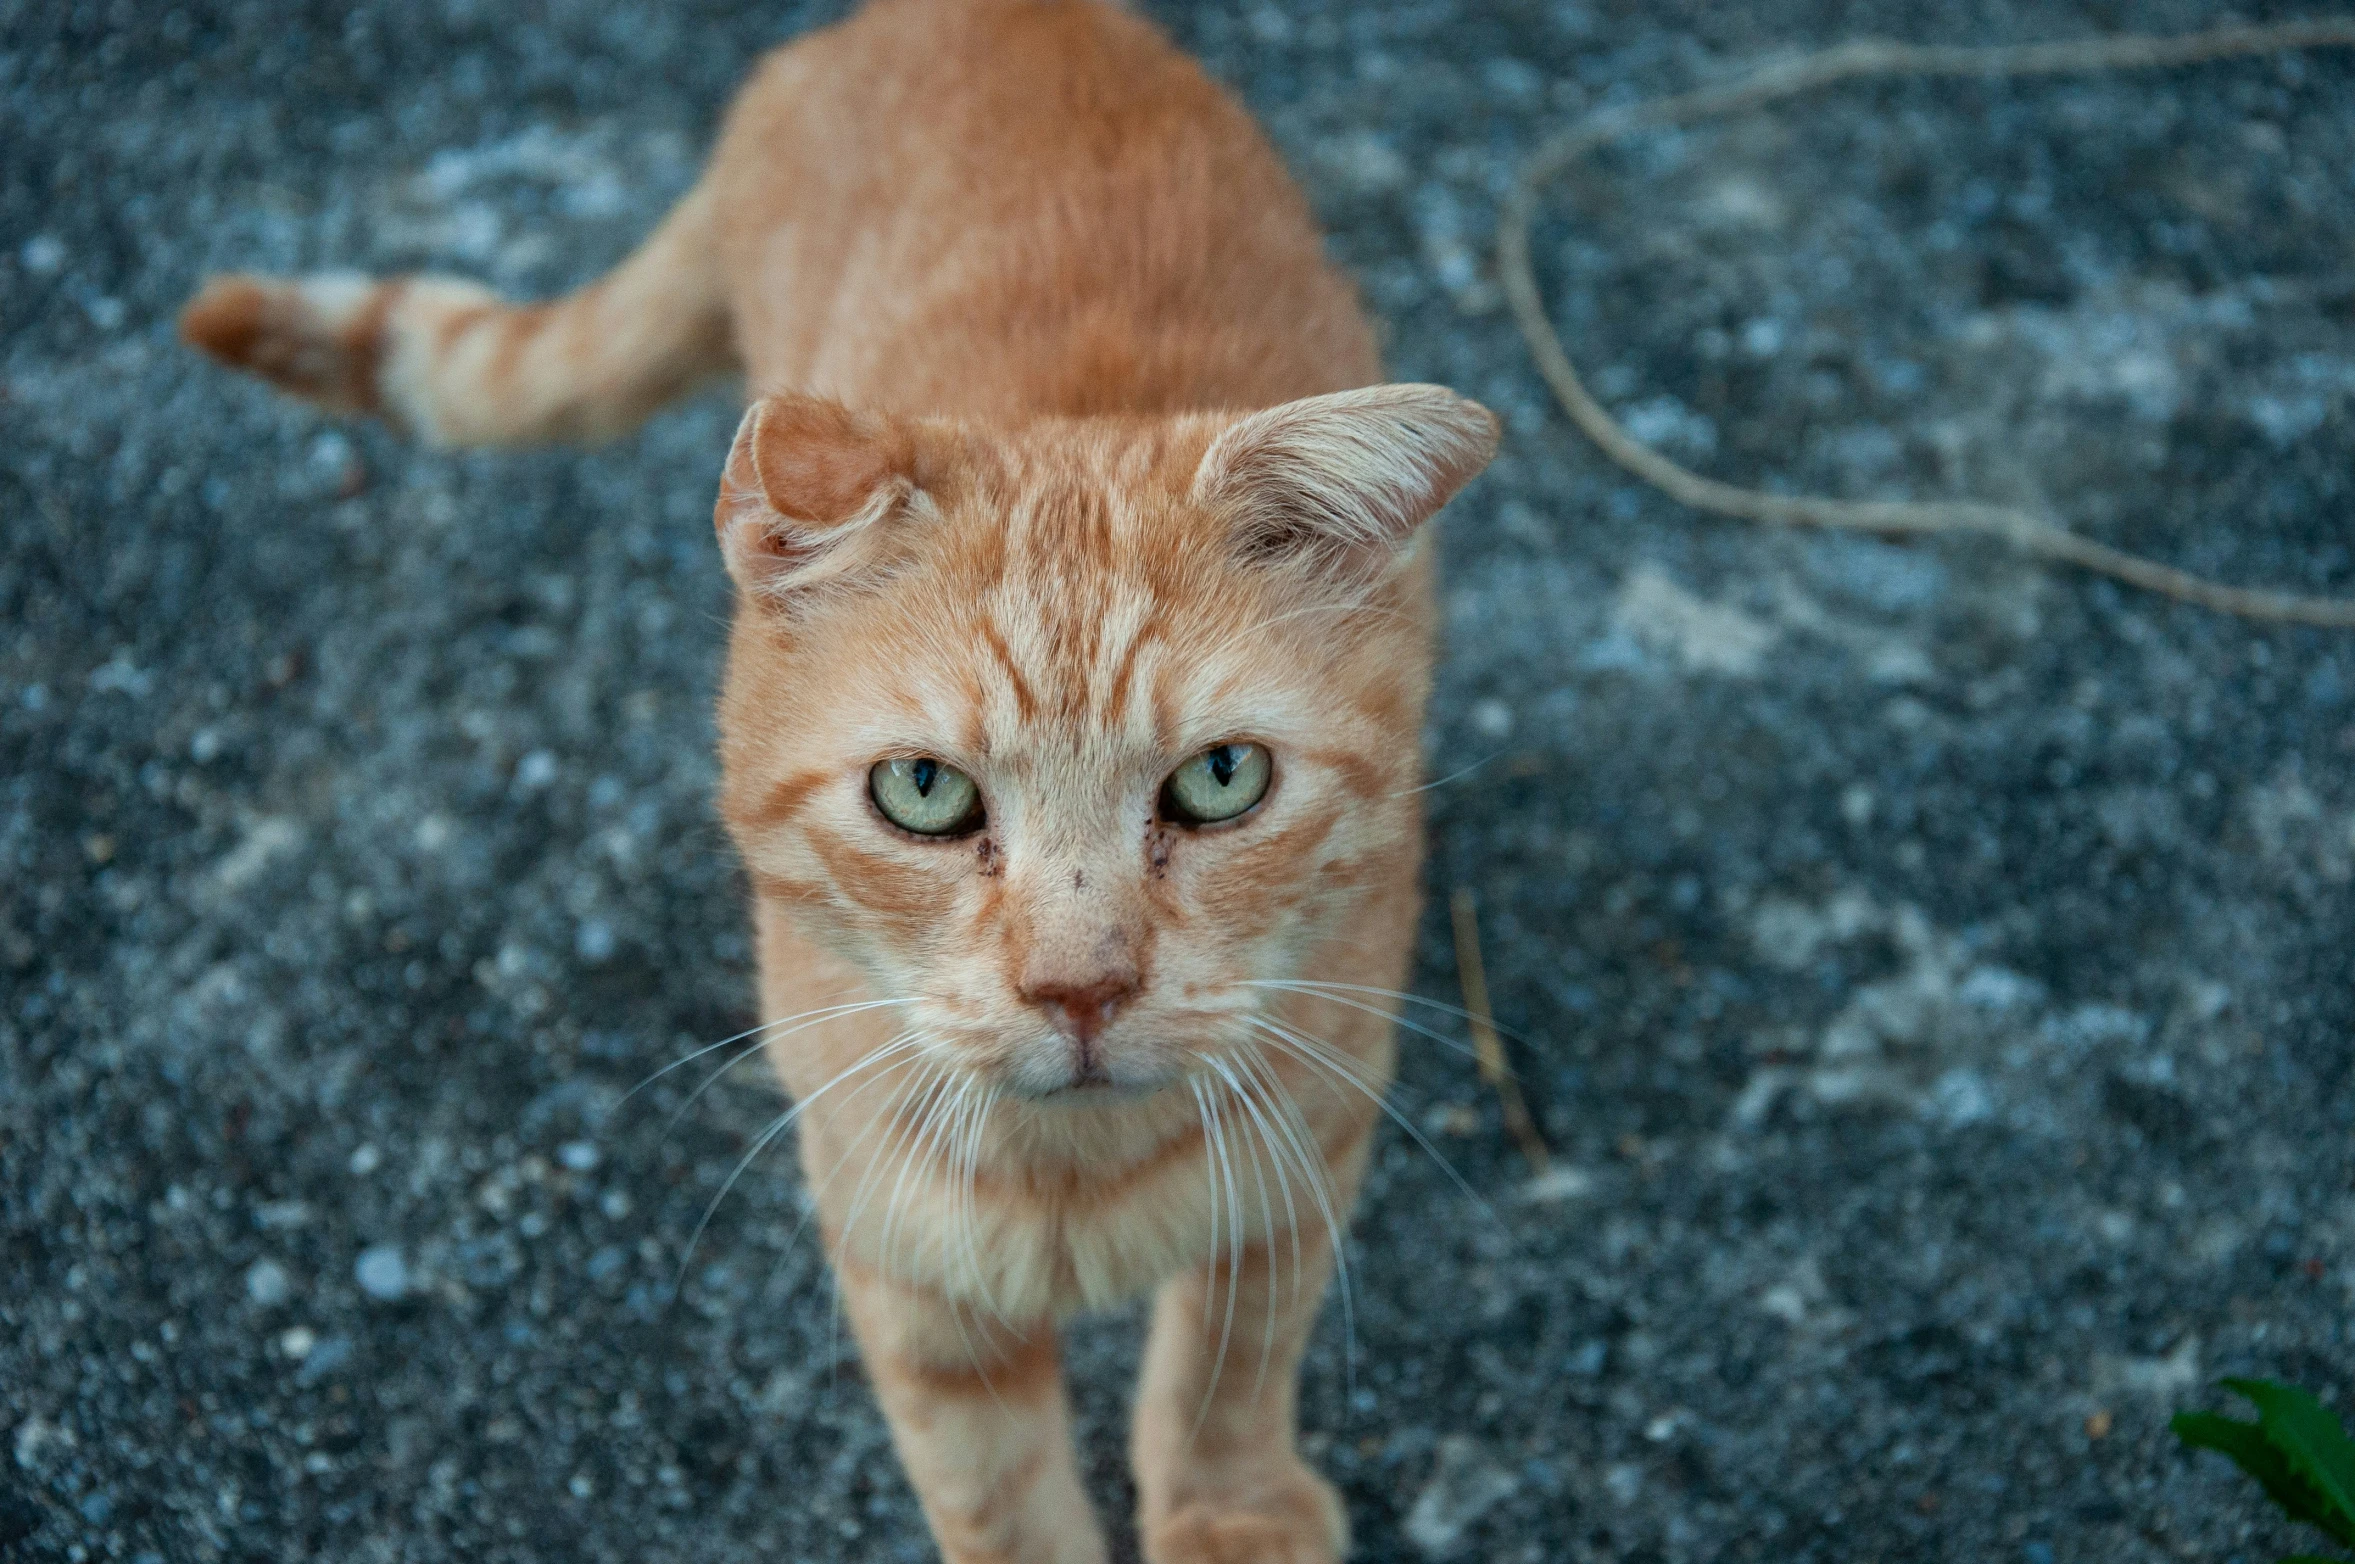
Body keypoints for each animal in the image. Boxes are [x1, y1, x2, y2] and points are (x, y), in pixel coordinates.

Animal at [183, 6, 1488, 1554]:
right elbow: (999, 1497)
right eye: (924, 793)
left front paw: (1226, 1511)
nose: (1079, 988)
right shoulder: (904, 1263)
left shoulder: (1307, 1151)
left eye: (1220, 780)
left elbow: (1230, 1366)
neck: (1074, 1176)